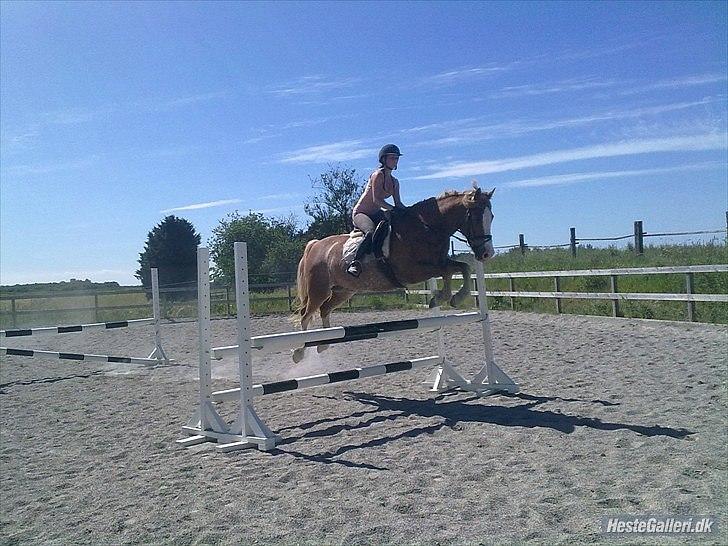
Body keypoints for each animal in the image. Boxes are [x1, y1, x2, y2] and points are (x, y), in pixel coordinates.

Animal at [292, 184, 494, 362]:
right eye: (476, 217)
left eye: (491, 216)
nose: (487, 254)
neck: (426, 227)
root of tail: (315, 245)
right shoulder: (413, 271)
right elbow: (449, 271)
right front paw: (445, 296)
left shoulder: (439, 262)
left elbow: (462, 268)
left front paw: (447, 297)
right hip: (319, 290)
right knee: (305, 314)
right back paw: (299, 352)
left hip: (344, 291)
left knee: (324, 309)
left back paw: (323, 344)